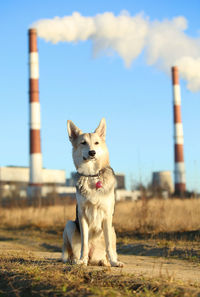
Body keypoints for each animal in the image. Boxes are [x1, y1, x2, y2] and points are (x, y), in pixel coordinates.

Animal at [61, 118, 122, 266]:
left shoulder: (107, 216)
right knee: (72, 253)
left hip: (112, 229)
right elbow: (84, 243)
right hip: (69, 224)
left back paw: (106, 261)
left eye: (96, 143)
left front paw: (114, 262)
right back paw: (78, 260)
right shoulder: (82, 214)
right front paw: (82, 261)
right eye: (83, 143)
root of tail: (93, 257)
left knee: (107, 249)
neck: (92, 175)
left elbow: (108, 245)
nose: (92, 152)